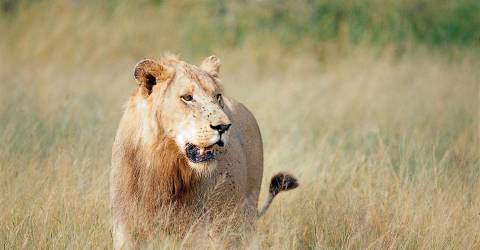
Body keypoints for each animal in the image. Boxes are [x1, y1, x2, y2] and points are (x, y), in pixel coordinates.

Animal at [110, 53, 298, 248]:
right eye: (187, 97)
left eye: (218, 96)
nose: (224, 126)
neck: (163, 166)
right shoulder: (126, 226)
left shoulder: (200, 230)